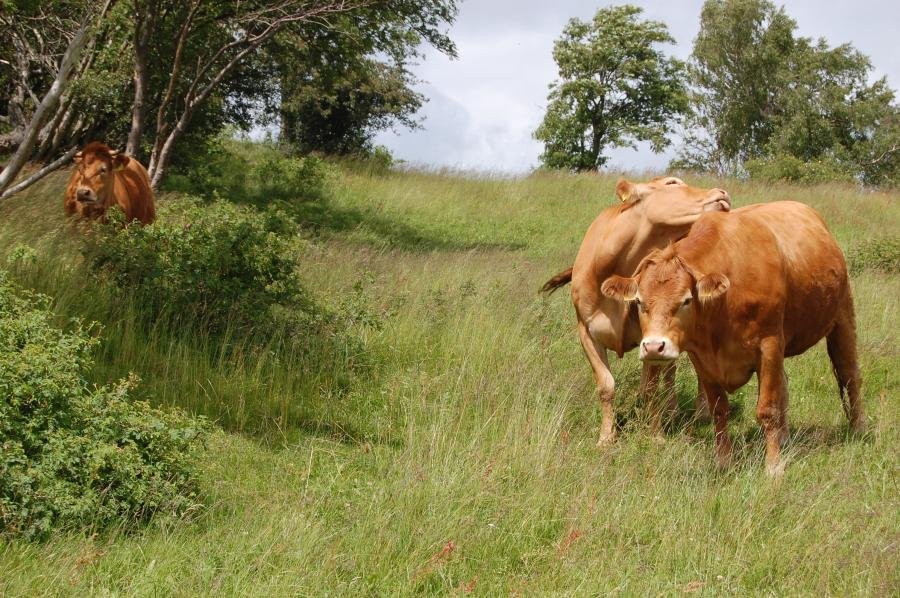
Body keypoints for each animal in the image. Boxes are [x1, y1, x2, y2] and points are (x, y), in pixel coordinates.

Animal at [540, 178, 732, 446]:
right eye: (672, 182)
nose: (721, 193)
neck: (610, 265)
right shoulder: (586, 332)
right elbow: (606, 385)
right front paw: (606, 437)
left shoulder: (652, 334)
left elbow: (650, 387)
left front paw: (655, 434)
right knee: (670, 370)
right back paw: (671, 408)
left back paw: (701, 411)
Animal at [600, 204, 860, 476]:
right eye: (639, 301)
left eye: (686, 300)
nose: (653, 347)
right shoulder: (703, 359)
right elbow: (719, 409)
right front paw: (724, 460)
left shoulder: (769, 345)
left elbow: (768, 408)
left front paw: (773, 466)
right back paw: (785, 436)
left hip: (842, 317)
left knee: (849, 374)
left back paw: (858, 429)